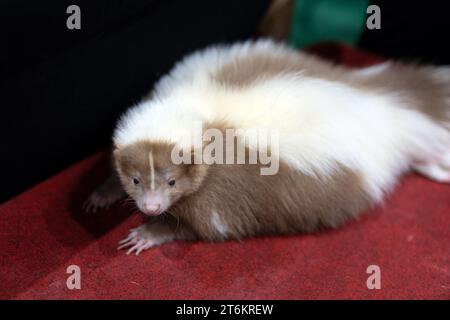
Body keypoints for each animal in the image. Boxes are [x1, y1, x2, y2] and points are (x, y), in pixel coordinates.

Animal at [84, 40, 450, 255]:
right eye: (136, 180)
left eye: (172, 181)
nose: (150, 207)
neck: (194, 109)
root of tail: (380, 102)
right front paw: (102, 195)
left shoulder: (224, 191)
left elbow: (203, 226)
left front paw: (146, 234)